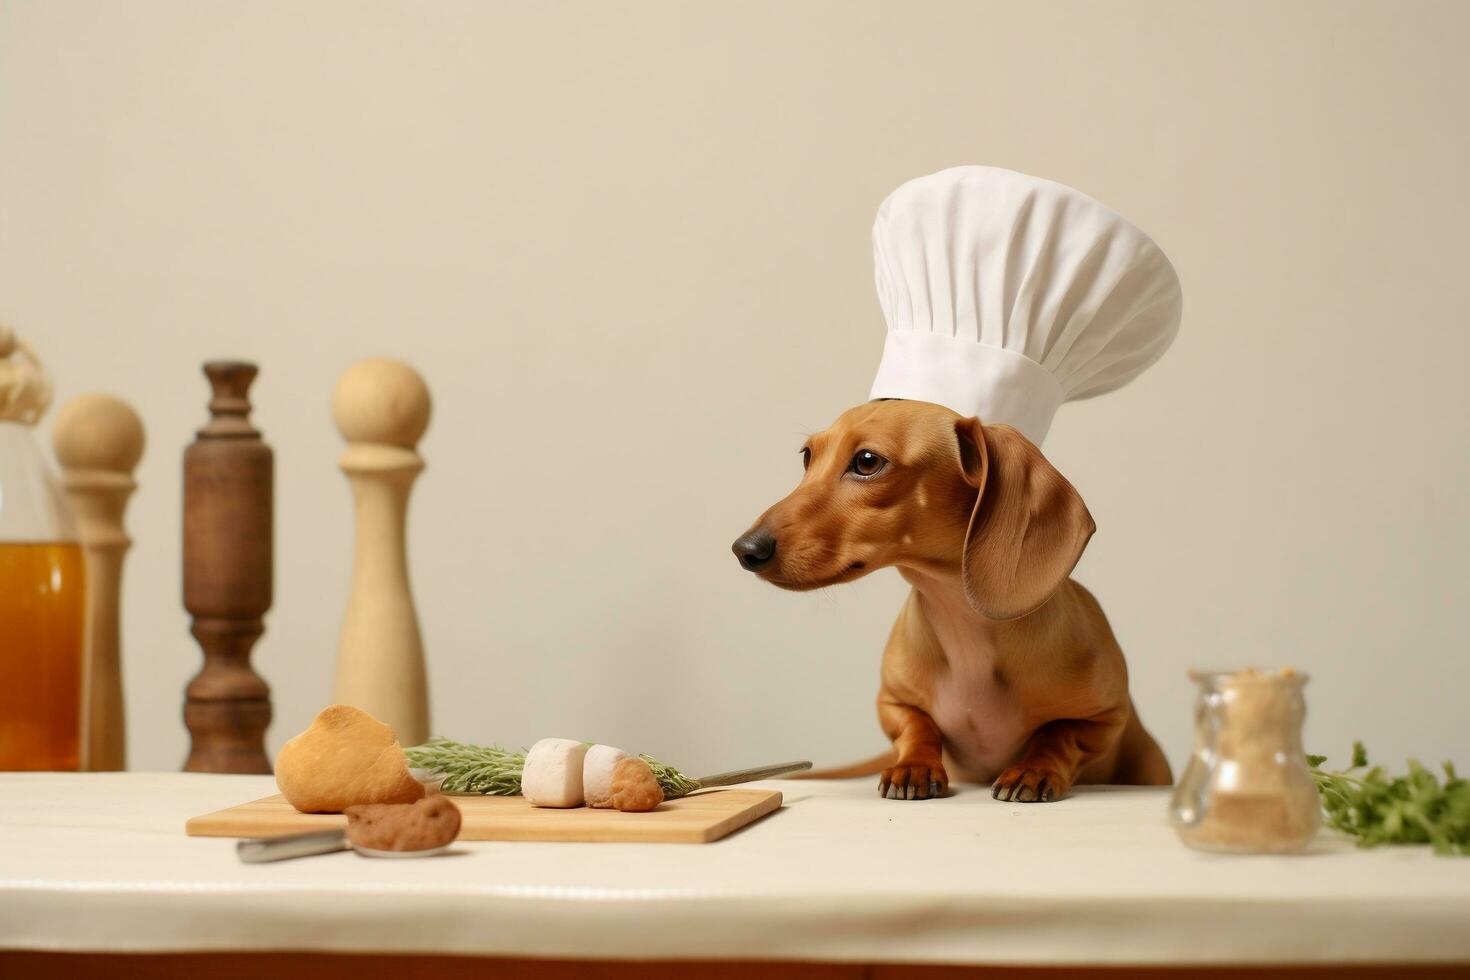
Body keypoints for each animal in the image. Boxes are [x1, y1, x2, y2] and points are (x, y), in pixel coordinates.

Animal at [735, 399, 1170, 805]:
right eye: (807, 456)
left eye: (867, 461)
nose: (745, 549)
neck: (963, 627)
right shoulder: (893, 702)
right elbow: (918, 726)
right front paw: (914, 765)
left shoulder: (1106, 717)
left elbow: (1057, 733)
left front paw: (1032, 769)